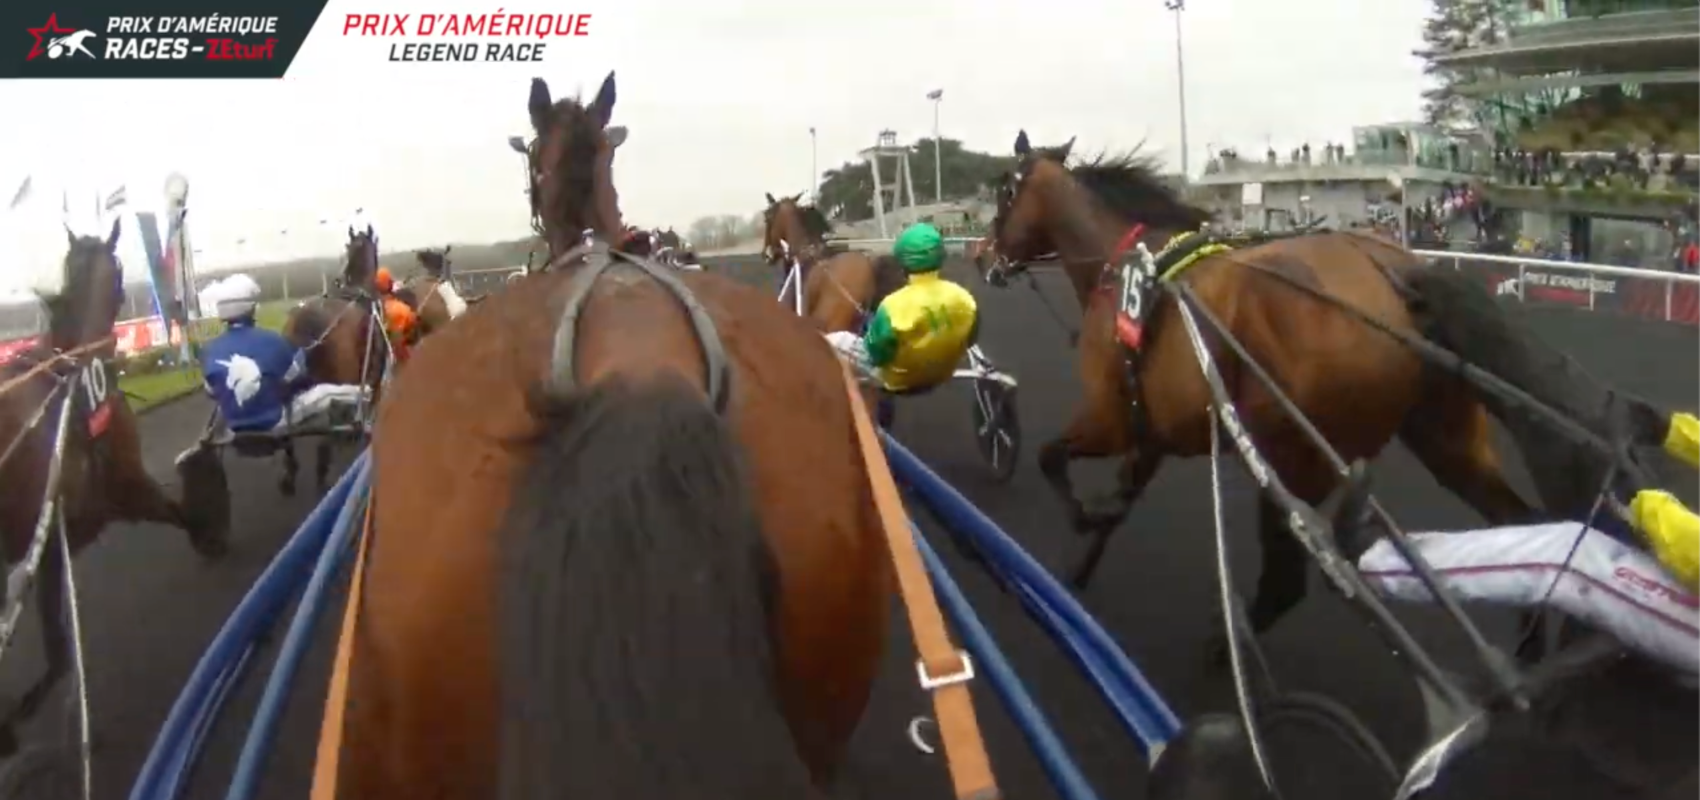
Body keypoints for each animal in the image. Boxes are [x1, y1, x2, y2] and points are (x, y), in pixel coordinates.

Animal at [986, 129, 1543, 645]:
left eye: (1005, 193)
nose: (984, 257)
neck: (1131, 268)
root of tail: (1397, 274)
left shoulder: (1109, 419)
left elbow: (1050, 457)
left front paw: (1082, 518)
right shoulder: (1152, 434)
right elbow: (1118, 502)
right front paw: (1080, 564)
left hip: (1294, 463)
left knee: (1284, 584)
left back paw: (1222, 650)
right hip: (1445, 439)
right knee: (1520, 519)